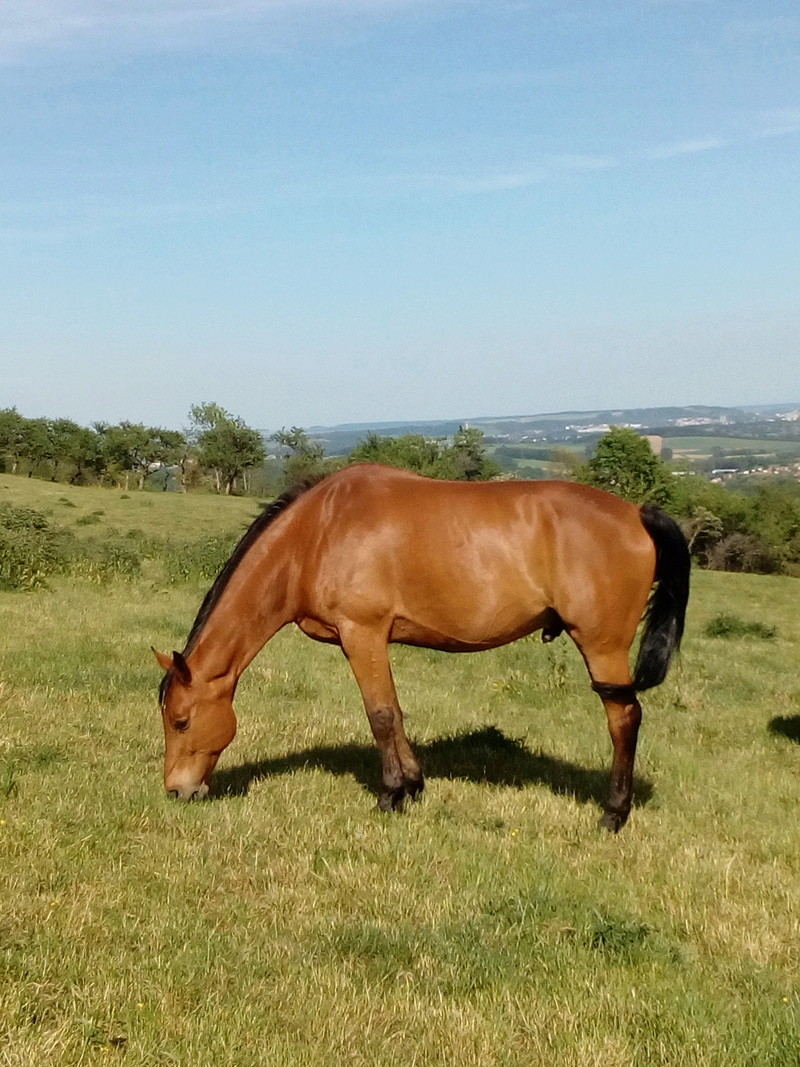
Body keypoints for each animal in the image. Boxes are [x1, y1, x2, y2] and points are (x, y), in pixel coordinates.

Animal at [153, 465, 691, 832]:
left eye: (180, 721)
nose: (177, 791)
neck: (317, 533)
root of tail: (637, 513)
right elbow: (392, 712)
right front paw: (413, 783)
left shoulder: (363, 632)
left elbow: (381, 714)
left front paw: (392, 794)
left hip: (602, 646)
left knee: (624, 719)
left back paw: (613, 814)